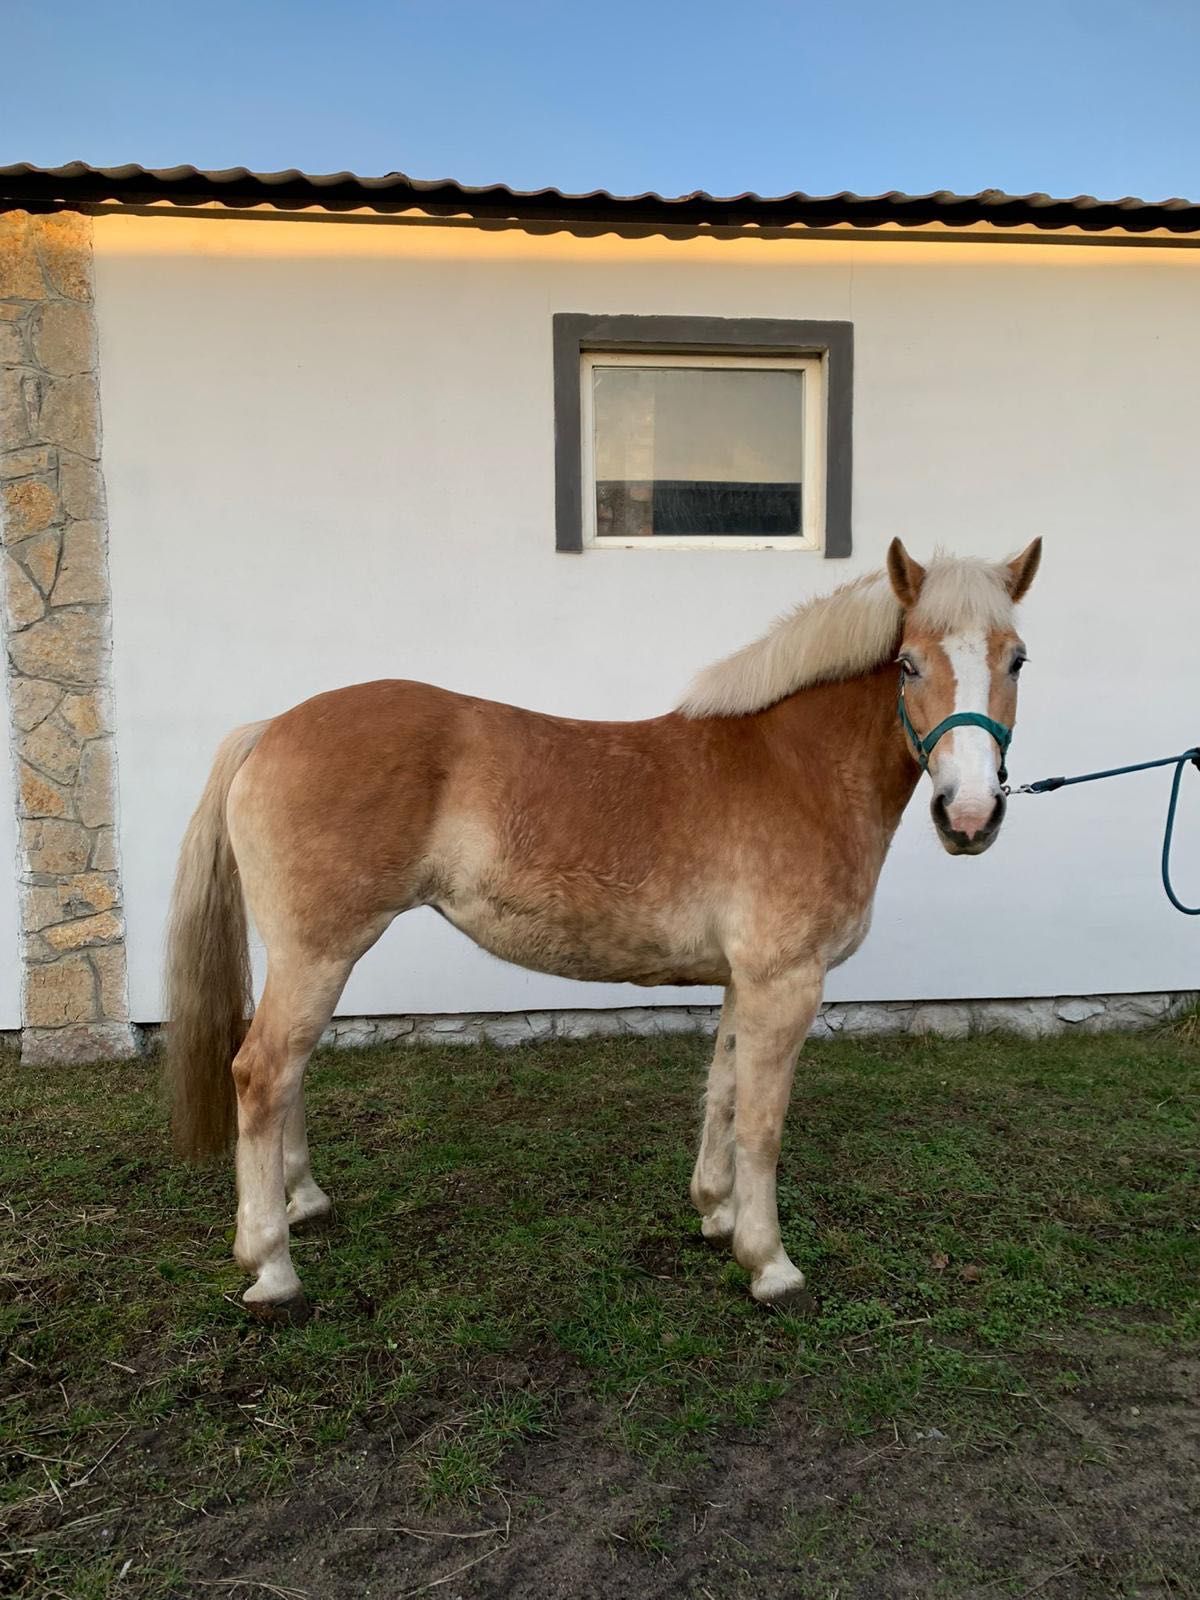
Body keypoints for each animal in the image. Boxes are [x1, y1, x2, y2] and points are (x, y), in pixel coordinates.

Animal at [167, 537, 1043, 1312]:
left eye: (1017, 659)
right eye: (909, 663)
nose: (970, 815)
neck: (793, 765)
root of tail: (271, 728)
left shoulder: (745, 981)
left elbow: (724, 1092)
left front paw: (717, 1215)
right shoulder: (786, 980)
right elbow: (763, 1122)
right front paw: (770, 1264)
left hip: (306, 955)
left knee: (287, 1071)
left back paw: (304, 1203)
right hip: (321, 952)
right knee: (263, 1072)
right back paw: (272, 1267)